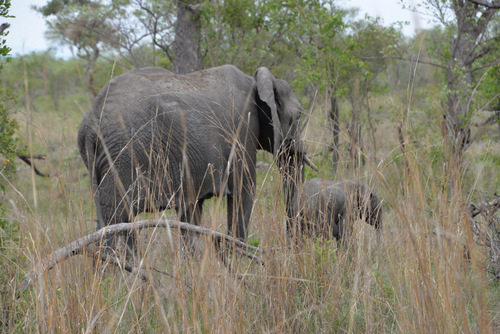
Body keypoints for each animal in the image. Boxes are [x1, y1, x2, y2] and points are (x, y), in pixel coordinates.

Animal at [77, 64, 312, 250]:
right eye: (299, 115)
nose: (295, 246)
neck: (255, 80)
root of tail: (91, 121)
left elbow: (191, 212)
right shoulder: (242, 130)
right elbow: (243, 193)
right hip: (124, 155)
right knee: (117, 219)